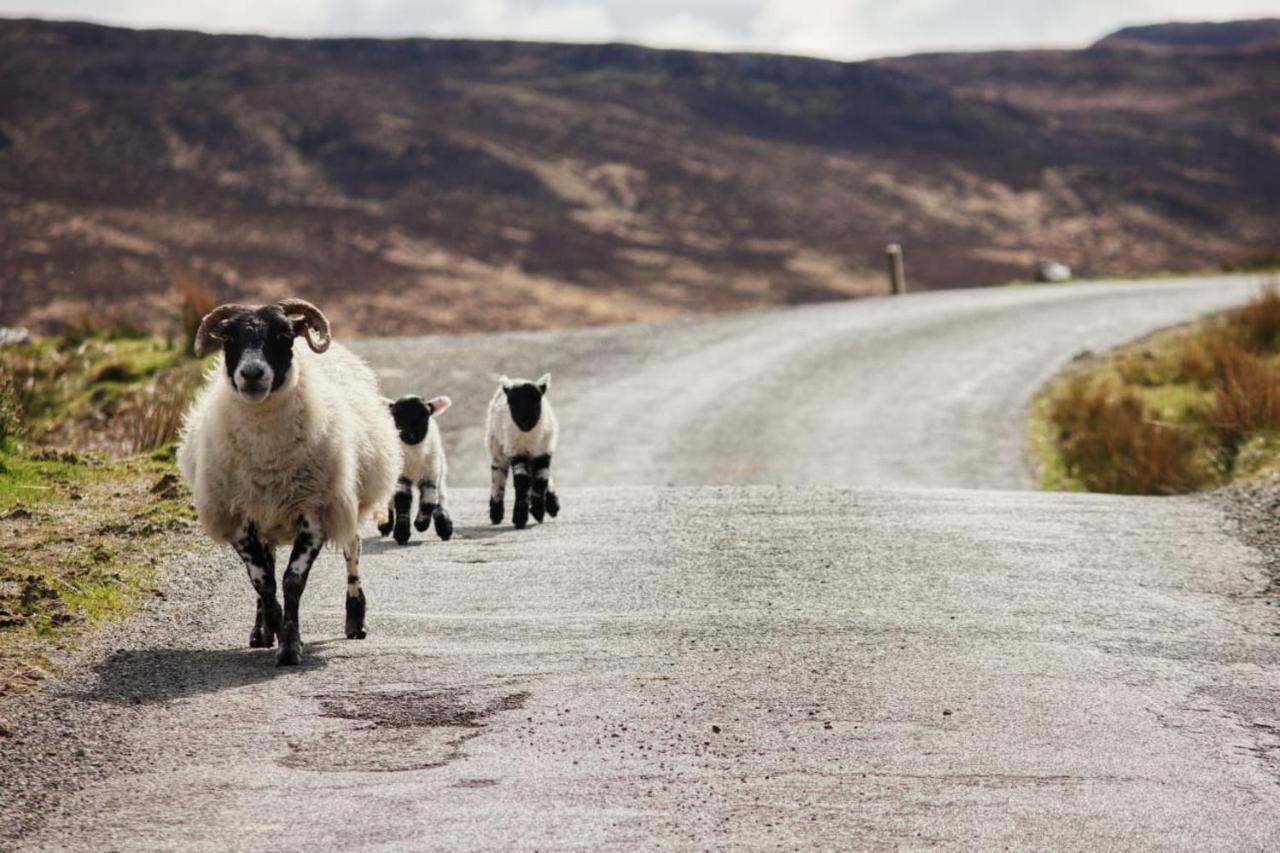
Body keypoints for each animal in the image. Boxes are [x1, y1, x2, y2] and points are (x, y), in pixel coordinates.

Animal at [172, 297, 396, 666]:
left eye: (285, 334)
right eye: (229, 338)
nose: (251, 374)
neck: (267, 457)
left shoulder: (315, 513)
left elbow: (291, 582)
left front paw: (290, 646)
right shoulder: (239, 518)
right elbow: (263, 582)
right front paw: (276, 632)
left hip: (343, 500)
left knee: (352, 552)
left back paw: (355, 620)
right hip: (264, 518)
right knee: (267, 569)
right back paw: (261, 632)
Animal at [378, 394, 455, 545]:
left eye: (425, 414)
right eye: (397, 415)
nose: (410, 434)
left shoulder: (431, 474)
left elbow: (429, 501)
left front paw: (421, 524)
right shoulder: (401, 478)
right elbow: (402, 502)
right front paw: (401, 534)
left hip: (440, 466)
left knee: (441, 496)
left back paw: (444, 528)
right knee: (388, 498)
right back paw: (385, 525)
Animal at [483, 371, 560, 525]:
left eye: (537, 401)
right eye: (511, 403)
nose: (525, 422)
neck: (529, 437)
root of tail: (517, 379)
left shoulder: (544, 451)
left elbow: (541, 479)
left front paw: (538, 511)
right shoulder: (516, 451)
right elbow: (522, 481)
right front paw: (520, 517)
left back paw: (552, 506)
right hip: (497, 444)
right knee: (498, 474)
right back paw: (496, 513)